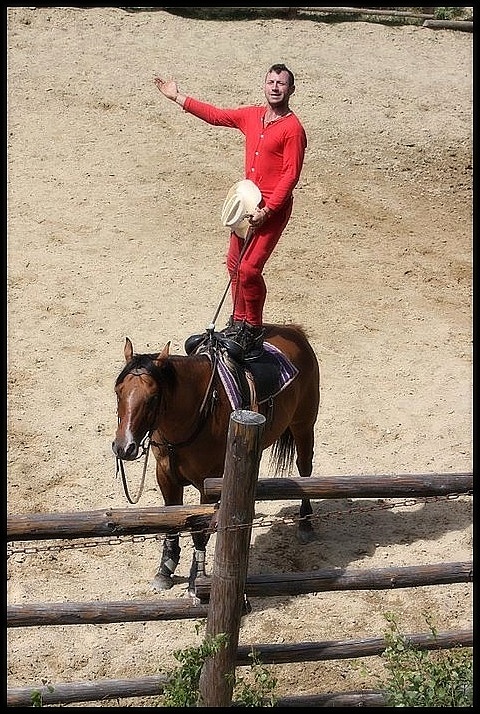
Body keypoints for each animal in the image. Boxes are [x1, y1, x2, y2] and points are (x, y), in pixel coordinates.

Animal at [113, 322, 320, 588]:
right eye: (118, 391)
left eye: (153, 398)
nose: (123, 447)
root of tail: (295, 331)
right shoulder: (165, 475)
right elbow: (170, 519)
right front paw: (165, 568)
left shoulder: (207, 483)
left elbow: (199, 531)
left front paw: (197, 576)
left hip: (303, 425)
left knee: (305, 469)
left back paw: (305, 523)